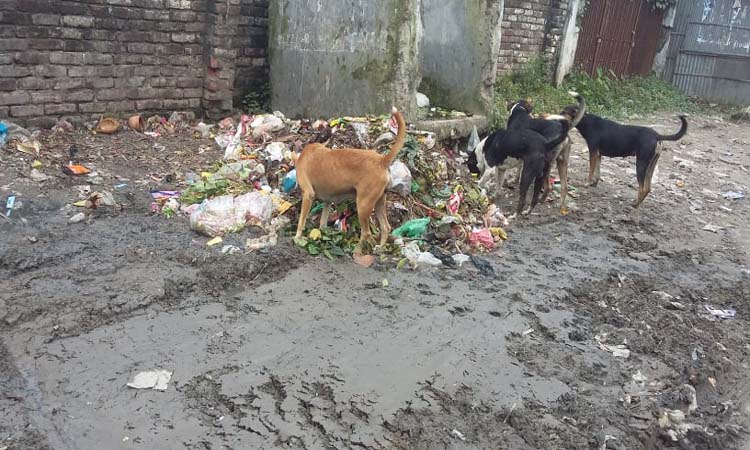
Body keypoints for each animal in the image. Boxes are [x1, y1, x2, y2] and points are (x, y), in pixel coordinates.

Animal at [296, 107, 408, 251]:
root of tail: (382, 160)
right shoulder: (327, 201)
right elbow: (322, 222)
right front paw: (322, 233)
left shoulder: (308, 194)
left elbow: (301, 221)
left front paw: (297, 238)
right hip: (378, 202)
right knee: (385, 227)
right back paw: (379, 248)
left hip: (363, 205)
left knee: (366, 232)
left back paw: (357, 250)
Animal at [560, 107, 692, 207]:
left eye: (564, 112)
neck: (587, 121)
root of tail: (657, 136)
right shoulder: (598, 155)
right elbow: (597, 172)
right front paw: (594, 183)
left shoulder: (593, 152)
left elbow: (591, 171)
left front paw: (587, 184)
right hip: (651, 165)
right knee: (648, 188)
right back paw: (638, 203)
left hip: (641, 164)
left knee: (643, 188)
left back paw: (635, 204)